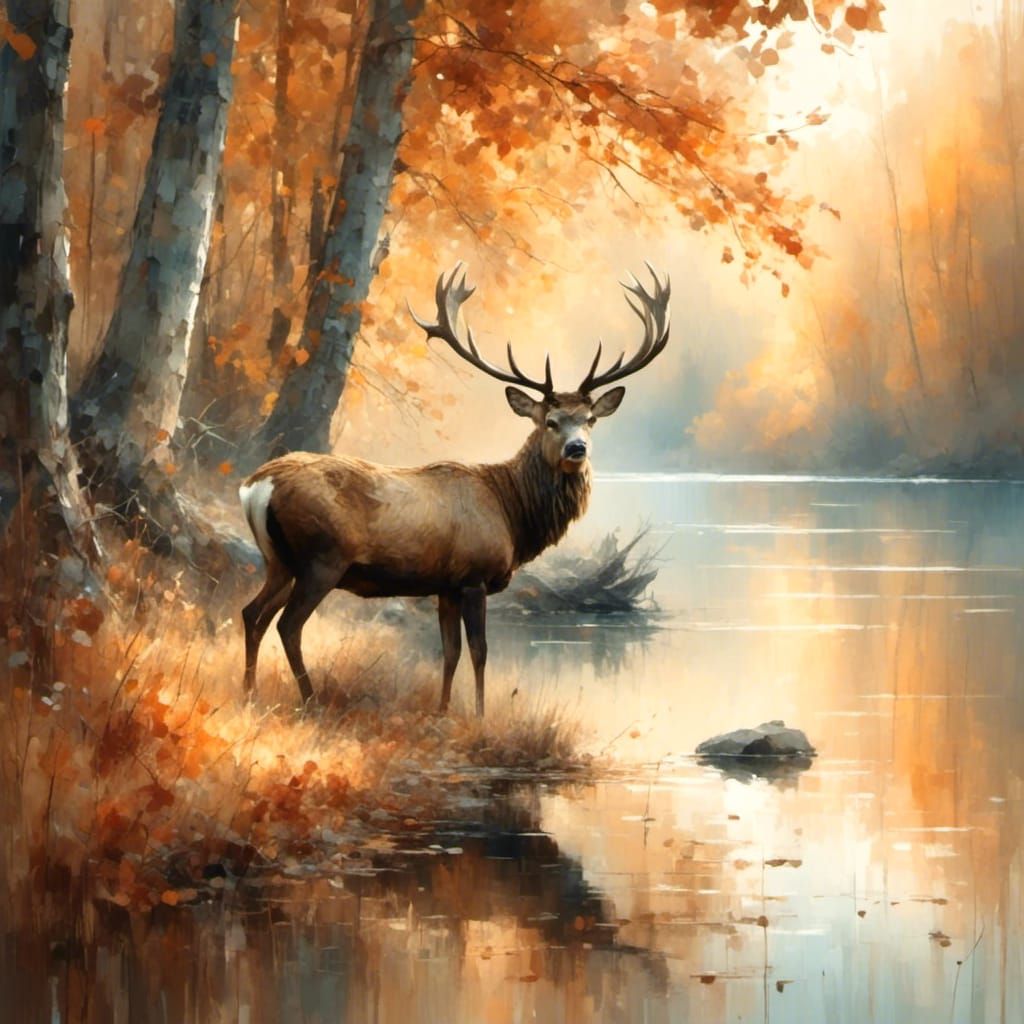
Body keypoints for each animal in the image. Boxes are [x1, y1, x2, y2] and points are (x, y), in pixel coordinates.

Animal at [239, 262, 670, 715]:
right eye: (550, 421)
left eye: (590, 419)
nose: (577, 448)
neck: (512, 513)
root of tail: (257, 486)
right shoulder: (473, 575)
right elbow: (479, 651)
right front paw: (478, 715)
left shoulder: (445, 585)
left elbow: (450, 653)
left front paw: (443, 710)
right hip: (321, 558)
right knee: (288, 625)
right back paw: (310, 699)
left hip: (278, 560)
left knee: (252, 613)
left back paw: (249, 692)